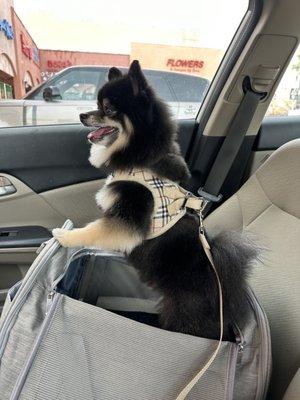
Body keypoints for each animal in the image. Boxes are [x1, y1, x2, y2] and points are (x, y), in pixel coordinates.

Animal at [52, 60, 256, 340]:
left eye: (108, 109)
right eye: (97, 103)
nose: (83, 115)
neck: (139, 159)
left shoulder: (129, 215)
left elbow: (93, 230)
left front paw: (65, 236)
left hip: (183, 315)